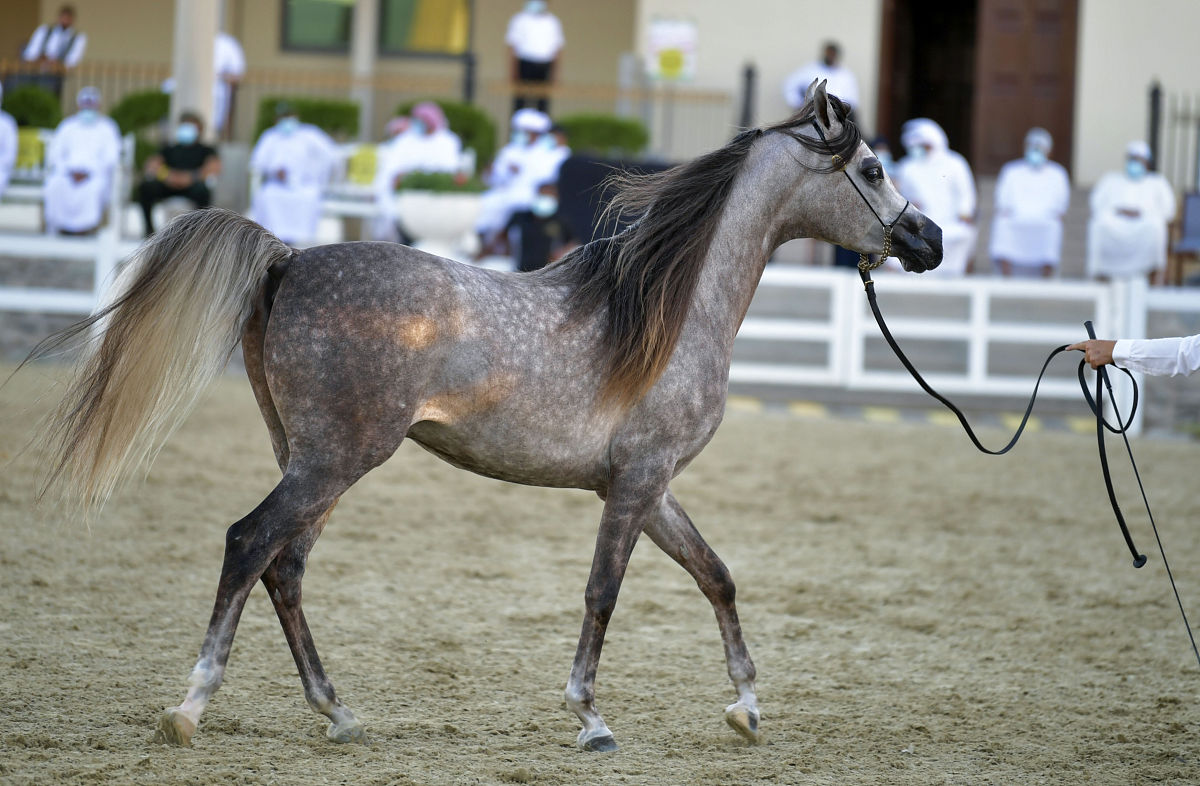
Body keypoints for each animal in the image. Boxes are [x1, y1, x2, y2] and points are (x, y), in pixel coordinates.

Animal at [26, 81, 941, 753]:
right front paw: (590, 719)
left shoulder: (648, 485)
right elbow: (603, 592)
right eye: (871, 168)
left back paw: (338, 713)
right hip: (336, 459)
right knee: (250, 544)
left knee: (285, 568)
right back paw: (191, 707)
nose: (927, 240)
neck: (666, 311)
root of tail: (289, 256)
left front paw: (746, 706)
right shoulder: (637, 483)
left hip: (315, 458)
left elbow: (715, 574)